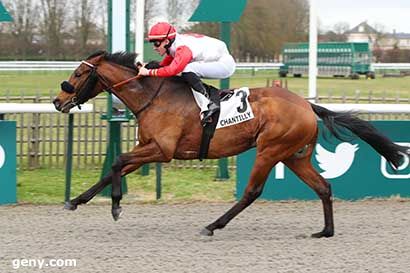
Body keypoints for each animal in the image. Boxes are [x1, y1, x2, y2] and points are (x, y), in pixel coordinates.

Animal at [53, 50, 406, 237]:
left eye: (78, 73)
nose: (58, 101)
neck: (154, 97)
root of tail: (307, 106)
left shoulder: (162, 151)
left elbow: (116, 162)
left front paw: (115, 206)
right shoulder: (148, 149)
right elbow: (113, 169)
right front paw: (76, 201)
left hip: (270, 150)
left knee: (252, 192)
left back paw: (212, 225)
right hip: (294, 156)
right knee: (323, 187)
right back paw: (325, 231)